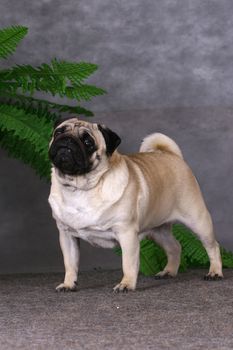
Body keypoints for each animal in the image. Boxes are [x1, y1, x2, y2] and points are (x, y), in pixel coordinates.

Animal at [48, 117, 223, 292]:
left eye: (87, 142)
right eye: (59, 132)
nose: (67, 140)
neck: (79, 188)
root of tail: (171, 155)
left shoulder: (127, 234)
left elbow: (128, 263)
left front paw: (126, 284)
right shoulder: (67, 235)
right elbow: (70, 264)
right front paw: (68, 284)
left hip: (198, 221)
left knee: (212, 246)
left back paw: (215, 273)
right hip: (158, 230)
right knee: (175, 247)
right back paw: (169, 272)